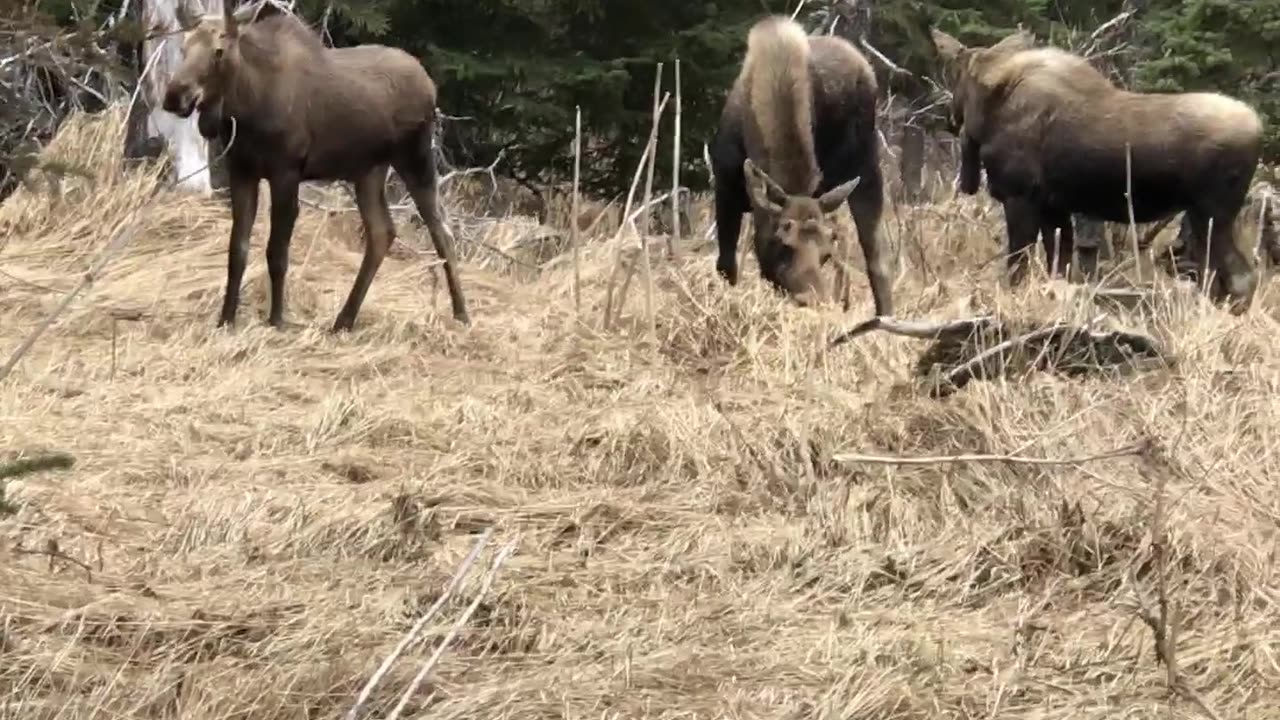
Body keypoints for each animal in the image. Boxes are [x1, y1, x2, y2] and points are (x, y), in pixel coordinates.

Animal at [160, 1, 471, 333]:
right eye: (183, 47)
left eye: (219, 50)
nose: (175, 96)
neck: (245, 108)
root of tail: (431, 86)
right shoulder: (242, 170)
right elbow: (237, 250)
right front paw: (226, 319)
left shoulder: (286, 172)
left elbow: (277, 252)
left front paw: (277, 319)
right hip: (369, 170)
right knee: (381, 232)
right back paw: (344, 320)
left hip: (415, 157)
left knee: (442, 231)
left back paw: (462, 313)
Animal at [706, 14, 896, 315]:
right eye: (781, 242)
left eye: (825, 253)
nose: (812, 299)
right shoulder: (724, 187)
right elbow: (726, 266)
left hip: (864, 165)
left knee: (877, 257)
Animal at [936, 26, 1264, 312]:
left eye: (953, 74)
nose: (951, 119)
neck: (989, 110)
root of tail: (1258, 129)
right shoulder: (1054, 207)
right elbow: (1061, 264)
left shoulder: (1020, 197)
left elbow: (1018, 266)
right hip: (1204, 217)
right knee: (1218, 278)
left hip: (1212, 213)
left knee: (1240, 277)